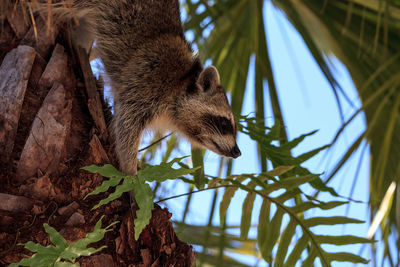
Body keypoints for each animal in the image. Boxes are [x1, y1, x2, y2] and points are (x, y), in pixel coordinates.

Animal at [48, 0, 241, 175]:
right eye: (225, 122)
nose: (237, 152)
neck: (181, 82)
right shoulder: (149, 80)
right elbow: (127, 124)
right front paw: (130, 173)